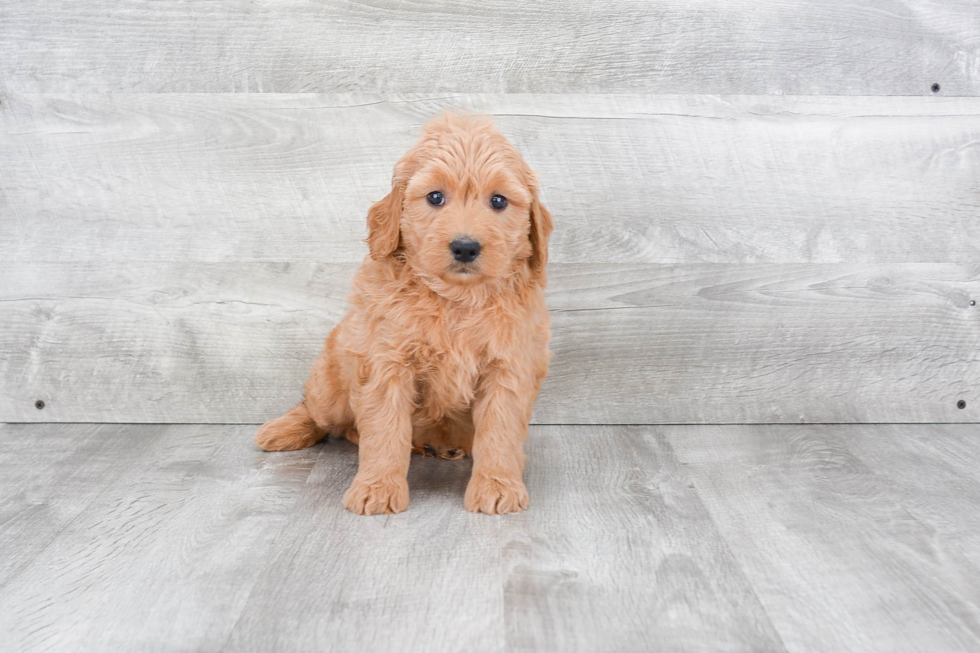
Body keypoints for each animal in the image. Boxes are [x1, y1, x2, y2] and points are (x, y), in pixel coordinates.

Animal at [256, 114, 556, 516]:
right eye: (435, 197)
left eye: (498, 201)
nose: (465, 247)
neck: (455, 299)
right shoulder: (386, 363)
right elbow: (385, 429)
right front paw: (378, 487)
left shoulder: (508, 366)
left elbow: (500, 430)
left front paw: (497, 484)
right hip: (331, 384)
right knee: (320, 412)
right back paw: (283, 429)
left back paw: (438, 445)